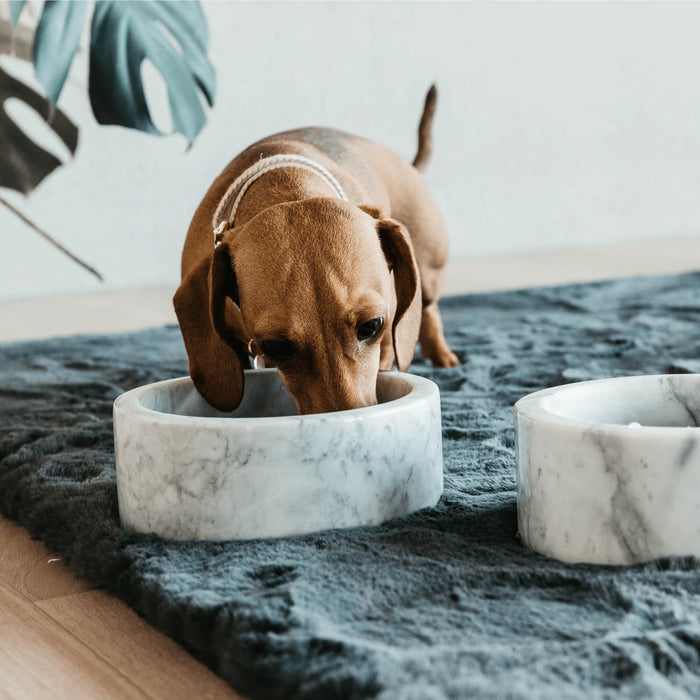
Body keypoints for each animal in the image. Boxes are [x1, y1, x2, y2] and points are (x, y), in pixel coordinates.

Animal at [175, 87, 460, 416]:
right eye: (276, 346)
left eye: (371, 326)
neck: (287, 186)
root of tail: (409, 165)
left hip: (427, 272)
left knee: (427, 308)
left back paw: (440, 353)